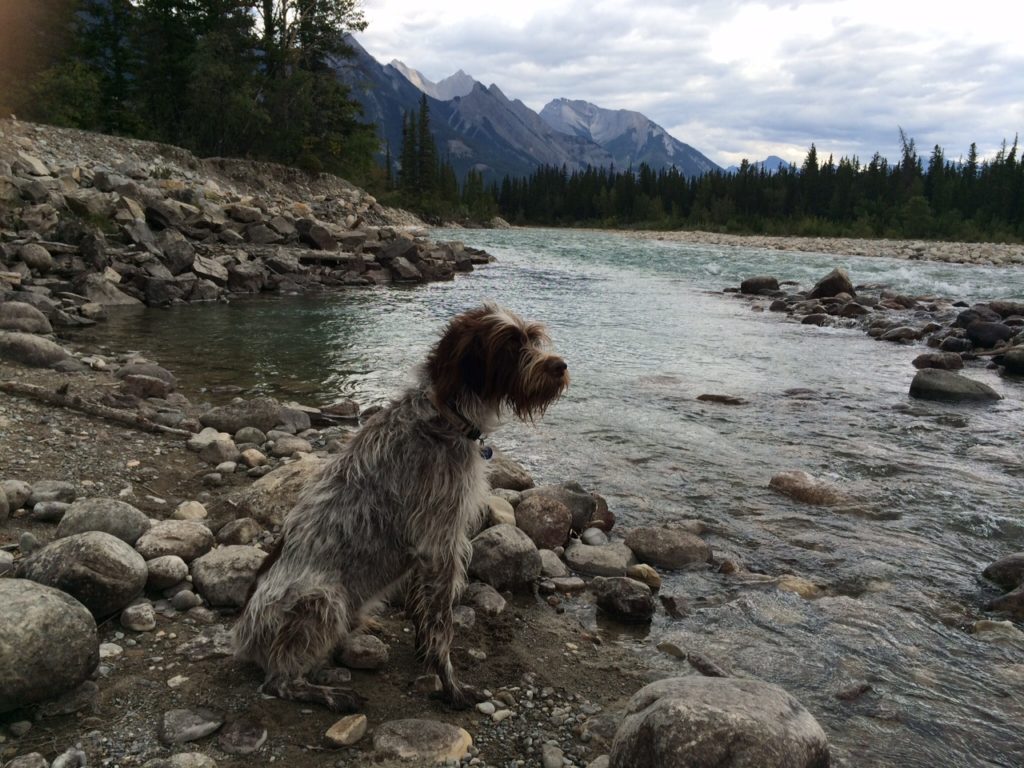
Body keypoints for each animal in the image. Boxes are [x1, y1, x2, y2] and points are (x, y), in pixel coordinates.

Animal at [232, 303, 569, 712]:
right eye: (509, 345)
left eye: (533, 338)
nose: (560, 366)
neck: (445, 418)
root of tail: (241, 636)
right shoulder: (440, 542)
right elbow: (442, 624)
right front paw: (450, 685)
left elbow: (424, 613)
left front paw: (426, 657)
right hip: (322, 599)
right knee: (278, 681)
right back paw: (328, 694)